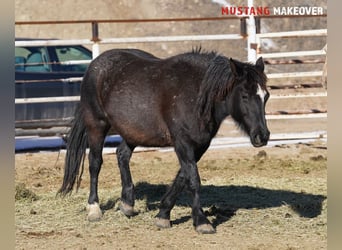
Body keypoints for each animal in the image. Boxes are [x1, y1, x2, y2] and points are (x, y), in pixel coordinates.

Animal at [58, 48, 270, 234]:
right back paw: (94, 208)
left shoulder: (199, 146)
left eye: (265, 95)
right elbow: (193, 180)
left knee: (122, 155)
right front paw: (201, 222)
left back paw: (127, 204)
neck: (195, 93)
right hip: (96, 126)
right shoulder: (183, 143)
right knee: (95, 163)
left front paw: (163, 215)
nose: (262, 136)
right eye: (244, 95)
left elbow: (182, 178)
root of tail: (95, 65)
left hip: (133, 132)